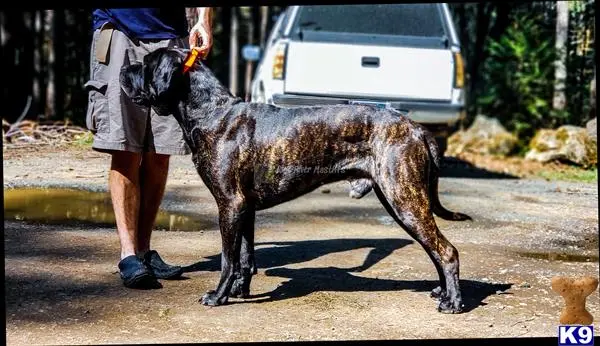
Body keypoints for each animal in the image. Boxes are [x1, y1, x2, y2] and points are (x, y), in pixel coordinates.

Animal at [119, 46, 472, 314]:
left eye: (146, 65)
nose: (124, 68)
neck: (212, 112)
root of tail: (416, 128)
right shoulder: (243, 208)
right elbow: (245, 256)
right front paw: (240, 290)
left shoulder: (230, 205)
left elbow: (227, 259)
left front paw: (219, 296)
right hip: (401, 200)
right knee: (436, 249)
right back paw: (442, 292)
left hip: (405, 199)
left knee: (446, 251)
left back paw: (452, 302)